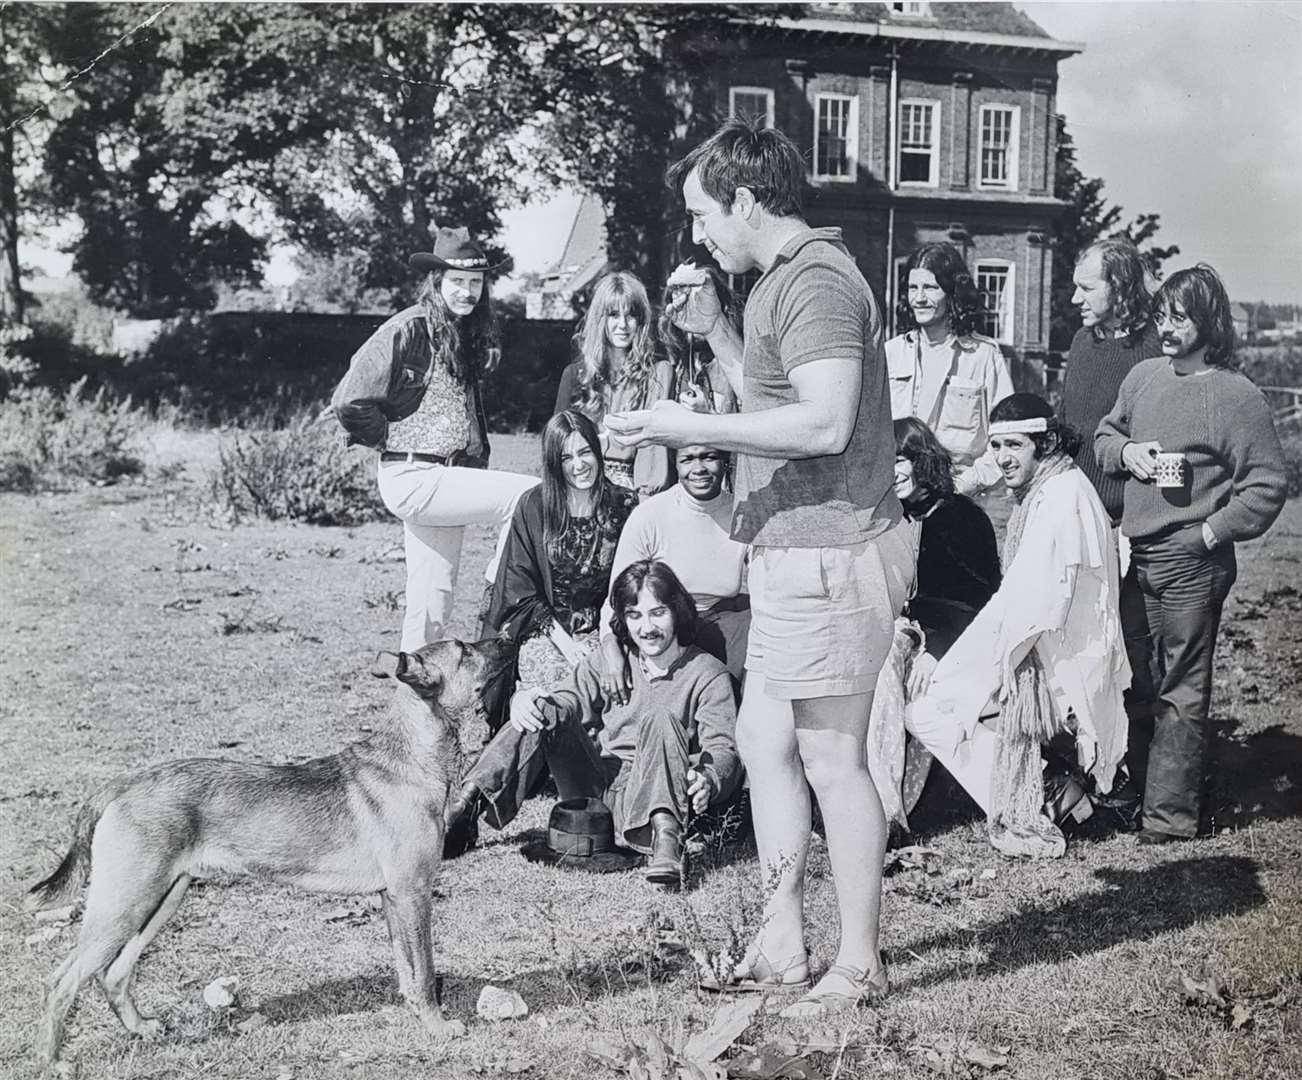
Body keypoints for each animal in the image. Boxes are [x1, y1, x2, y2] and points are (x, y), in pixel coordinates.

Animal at [25, 635, 512, 1068]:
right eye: (463, 649)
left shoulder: (393, 899)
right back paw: (54, 1061)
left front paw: (418, 1018)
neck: (410, 759)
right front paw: (439, 1027)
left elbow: (408, 973)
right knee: (61, 981)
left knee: (114, 974)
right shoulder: (413, 894)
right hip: (124, 905)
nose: (509, 636)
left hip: (160, 901)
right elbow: (425, 972)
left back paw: (141, 1028)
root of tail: (120, 785)